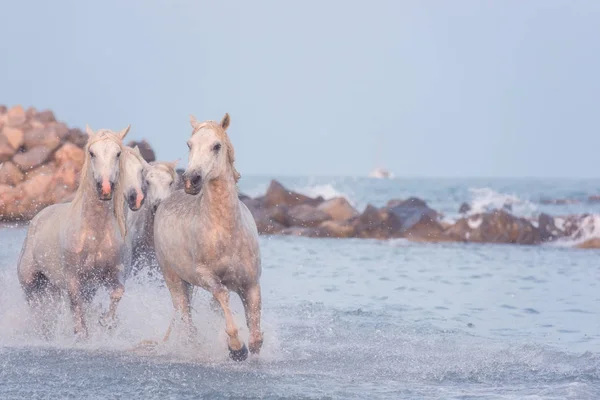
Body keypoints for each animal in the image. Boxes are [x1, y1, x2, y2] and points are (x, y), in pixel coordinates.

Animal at [17, 126, 144, 338]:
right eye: (92, 153)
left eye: (117, 154)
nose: (105, 188)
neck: (93, 234)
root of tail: (37, 218)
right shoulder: (73, 279)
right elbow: (76, 306)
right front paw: (81, 333)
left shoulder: (111, 276)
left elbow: (116, 294)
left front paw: (105, 322)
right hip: (31, 283)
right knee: (38, 310)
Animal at [152, 114, 262, 360]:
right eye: (189, 144)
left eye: (216, 146)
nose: (191, 180)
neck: (226, 231)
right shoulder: (206, 276)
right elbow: (222, 296)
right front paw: (236, 348)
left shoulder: (251, 283)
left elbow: (255, 329)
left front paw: (252, 343)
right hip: (174, 281)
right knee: (186, 317)